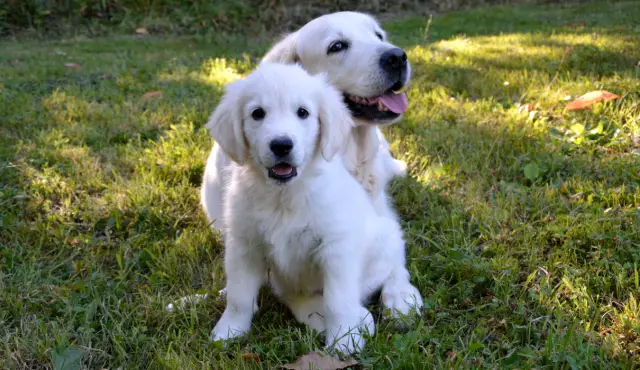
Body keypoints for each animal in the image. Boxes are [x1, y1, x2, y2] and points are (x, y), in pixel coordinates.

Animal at [208, 63, 422, 356]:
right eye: (257, 113)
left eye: (303, 112)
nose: (282, 145)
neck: (284, 195)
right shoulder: (244, 245)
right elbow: (239, 295)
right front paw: (229, 331)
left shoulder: (336, 248)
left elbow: (338, 300)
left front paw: (343, 340)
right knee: (294, 297)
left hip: (384, 240)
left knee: (388, 271)